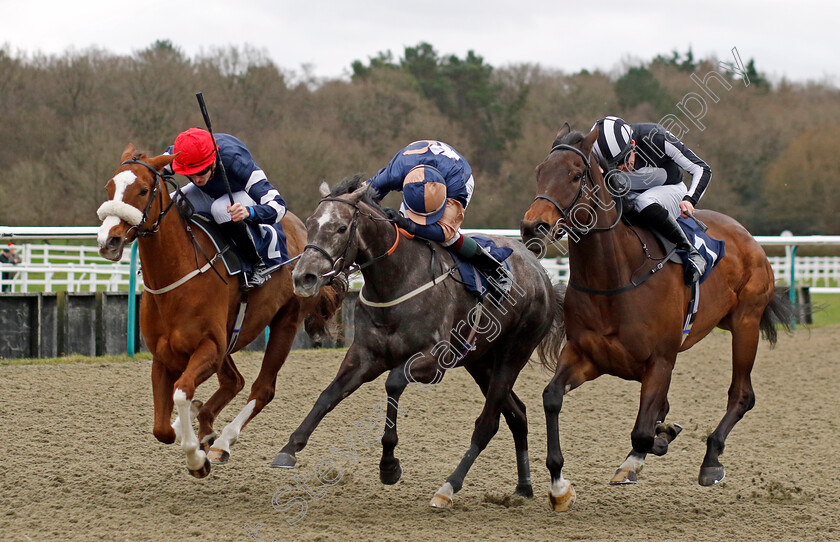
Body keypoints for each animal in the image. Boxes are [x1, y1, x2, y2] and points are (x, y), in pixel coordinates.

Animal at [97, 146, 344, 480]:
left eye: (143, 190)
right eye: (109, 187)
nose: (107, 240)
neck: (177, 276)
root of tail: (305, 232)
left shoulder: (210, 348)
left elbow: (181, 392)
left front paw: (196, 459)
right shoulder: (165, 357)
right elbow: (161, 428)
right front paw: (187, 429)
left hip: (285, 322)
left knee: (261, 389)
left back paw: (221, 442)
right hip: (230, 336)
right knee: (233, 382)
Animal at [270, 177, 564, 510]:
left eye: (341, 228)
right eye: (309, 223)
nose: (303, 277)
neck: (396, 280)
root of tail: (540, 272)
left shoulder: (433, 360)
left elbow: (393, 384)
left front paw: (388, 465)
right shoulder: (364, 356)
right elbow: (328, 396)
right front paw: (290, 448)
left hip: (513, 354)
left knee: (488, 423)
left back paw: (449, 486)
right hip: (480, 361)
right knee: (517, 414)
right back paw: (523, 486)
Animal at [520, 125, 792, 512]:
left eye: (574, 175)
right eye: (539, 172)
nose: (533, 226)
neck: (614, 277)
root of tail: (746, 236)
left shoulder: (660, 361)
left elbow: (643, 433)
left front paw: (653, 445)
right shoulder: (585, 355)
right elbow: (552, 397)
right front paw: (559, 486)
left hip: (746, 323)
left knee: (742, 394)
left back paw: (711, 460)